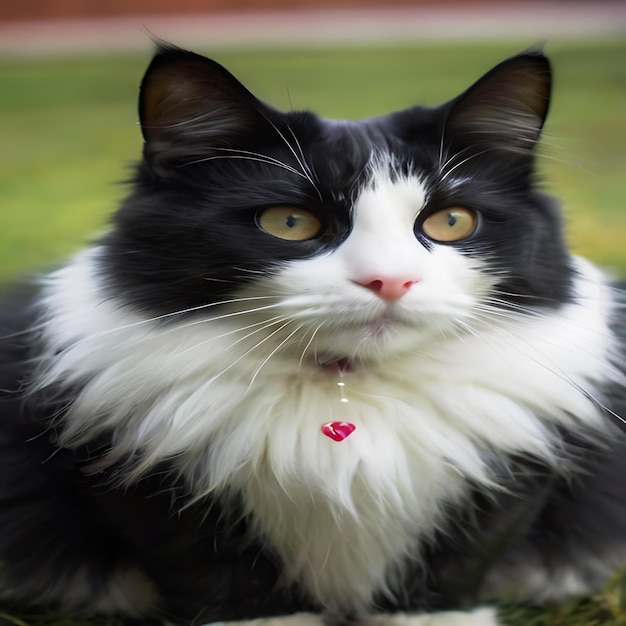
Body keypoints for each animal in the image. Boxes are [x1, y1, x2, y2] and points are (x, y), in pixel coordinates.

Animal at [1, 45, 624, 624]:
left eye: (451, 222)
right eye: (290, 223)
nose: (389, 280)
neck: (348, 389)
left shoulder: (508, 480)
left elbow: (452, 565)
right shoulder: (146, 481)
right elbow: (220, 573)